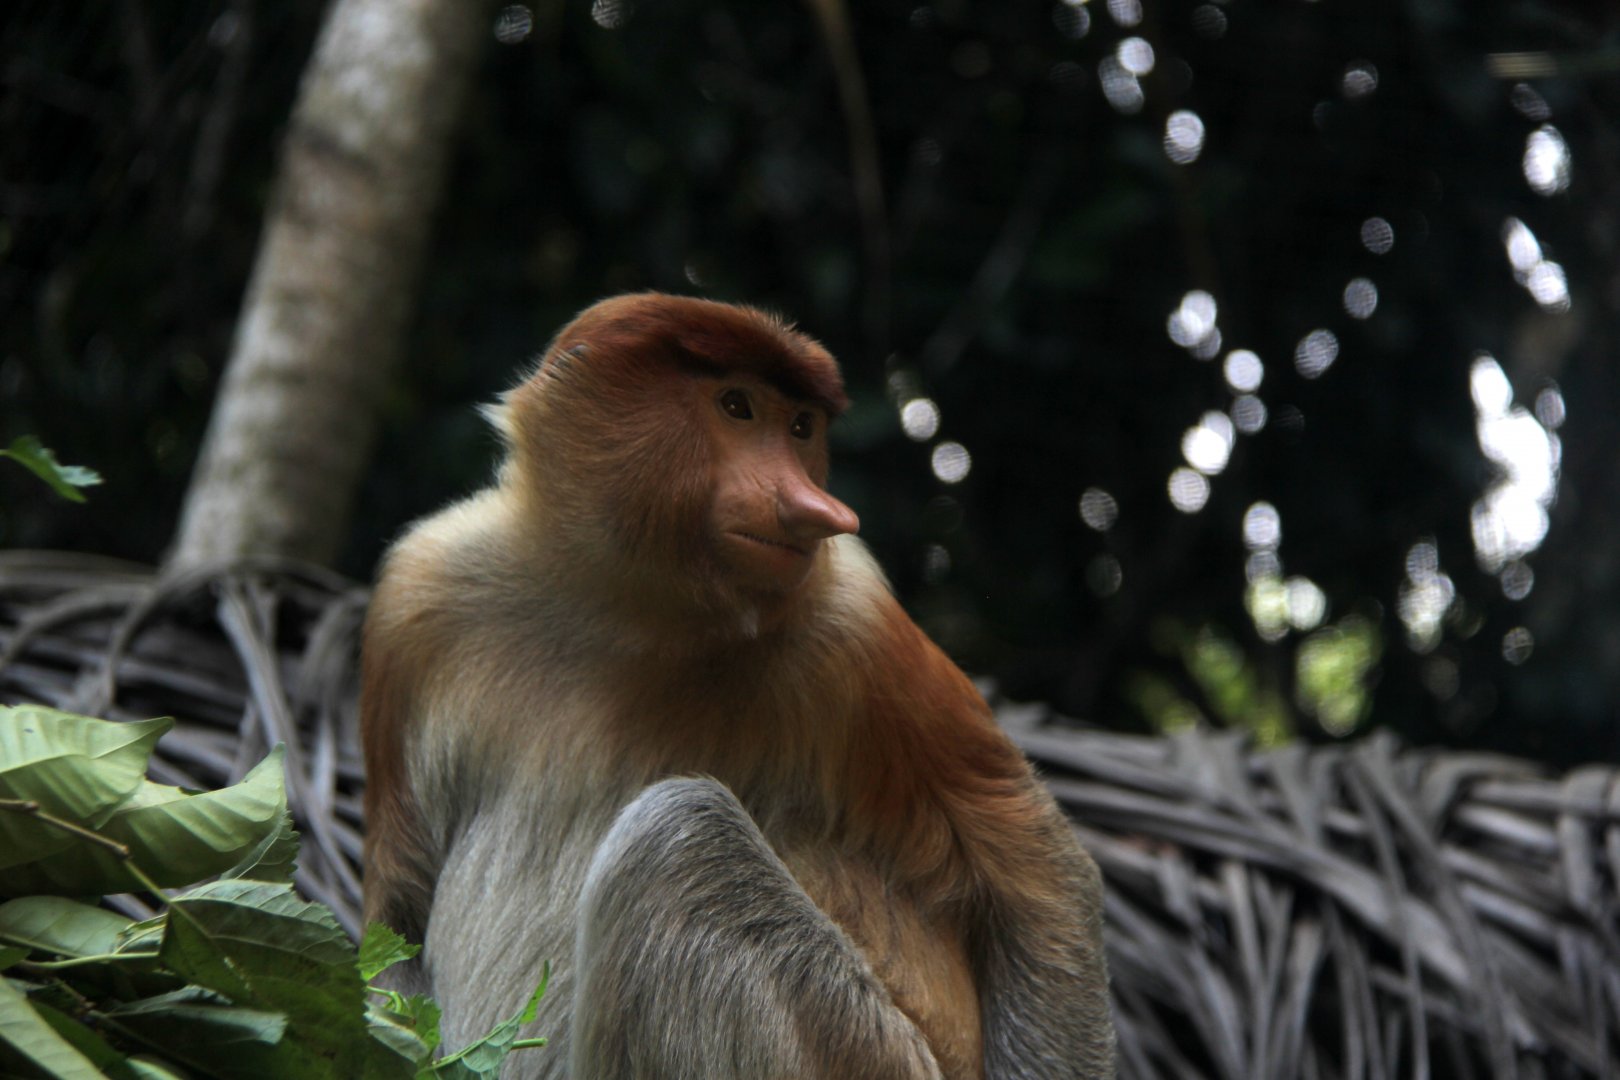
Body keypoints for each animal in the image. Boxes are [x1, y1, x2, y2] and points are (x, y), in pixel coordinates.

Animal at [360, 292, 1115, 1079]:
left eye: (802, 426)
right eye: (736, 406)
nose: (821, 510)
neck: (619, 603)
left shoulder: (855, 618)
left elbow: (1034, 866)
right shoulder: (418, 593)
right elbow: (399, 910)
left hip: (862, 1049)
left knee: (680, 836)